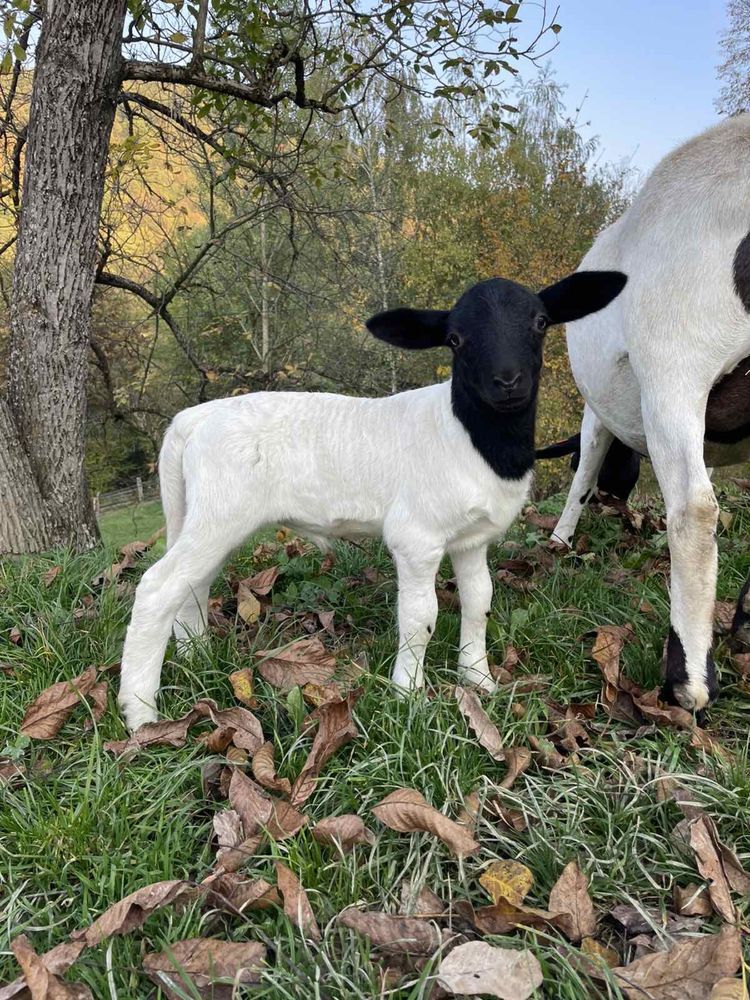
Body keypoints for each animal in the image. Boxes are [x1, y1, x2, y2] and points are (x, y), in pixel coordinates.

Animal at [117, 270, 624, 732]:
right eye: (455, 339)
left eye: (540, 322)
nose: (508, 381)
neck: (474, 437)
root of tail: (191, 420)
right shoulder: (416, 536)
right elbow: (420, 616)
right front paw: (409, 695)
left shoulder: (472, 538)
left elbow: (480, 599)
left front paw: (478, 680)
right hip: (222, 511)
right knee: (158, 587)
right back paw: (140, 714)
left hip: (205, 516)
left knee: (192, 586)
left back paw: (196, 658)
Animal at [548, 113, 750, 716]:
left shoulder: (598, 412)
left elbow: (583, 469)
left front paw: (560, 539)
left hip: (673, 364)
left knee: (694, 509)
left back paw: (688, 680)